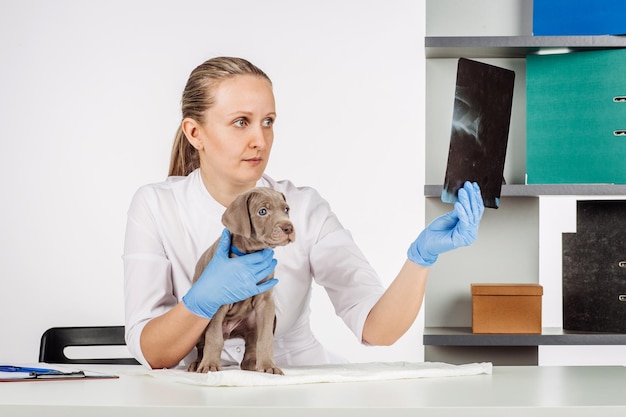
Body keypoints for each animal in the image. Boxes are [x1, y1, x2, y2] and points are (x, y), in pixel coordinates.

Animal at [186, 186, 294, 374]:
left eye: (286, 210)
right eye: (262, 211)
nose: (289, 228)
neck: (249, 253)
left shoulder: (265, 303)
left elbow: (265, 339)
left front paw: (269, 365)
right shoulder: (217, 304)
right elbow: (214, 338)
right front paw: (209, 365)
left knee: (252, 344)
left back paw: (252, 364)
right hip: (199, 324)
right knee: (202, 345)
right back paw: (197, 363)